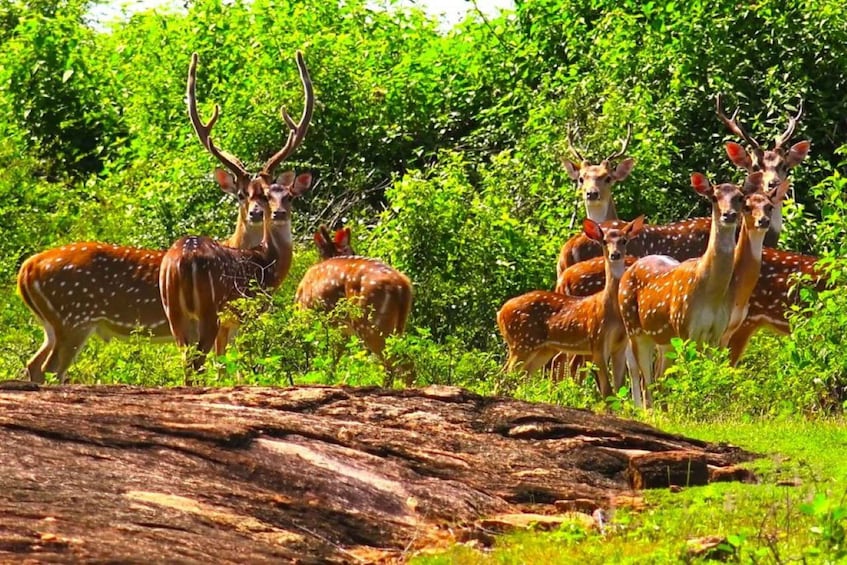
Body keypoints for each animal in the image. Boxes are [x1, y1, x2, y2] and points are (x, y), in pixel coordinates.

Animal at [16, 51, 279, 384]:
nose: (257, 213)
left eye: (266, 194)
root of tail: (25, 270)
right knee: (51, 368)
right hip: (75, 317)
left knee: (34, 364)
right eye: (241, 194)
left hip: (53, 325)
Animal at [159, 50, 314, 380]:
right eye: (244, 195)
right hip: (210, 310)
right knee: (197, 362)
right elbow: (239, 364)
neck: (266, 262)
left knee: (186, 362)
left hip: (174, 312)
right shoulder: (246, 314)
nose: (266, 213)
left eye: (270, 194)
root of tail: (182, 262)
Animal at [295, 226, 414, 387]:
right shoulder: (342, 331)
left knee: (399, 363)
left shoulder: (307, 318)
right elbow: (335, 356)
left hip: (370, 322)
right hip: (397, 326)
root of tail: (403, 285)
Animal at [497, 216, 645, 398]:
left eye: (624, 240)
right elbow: (607, 390)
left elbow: (619, 388)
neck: (611, 311)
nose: (614, 254)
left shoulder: (619, 345)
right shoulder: (597, 341)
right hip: (522, 342)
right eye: (604, 241)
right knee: (503, 376)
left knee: (520, 376)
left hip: (541, 349)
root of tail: (500, 313)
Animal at [618, 172, 764, 408]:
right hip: (634, 326)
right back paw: (647, 410)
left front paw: (707, 404)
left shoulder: (717, 332)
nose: (729, 215)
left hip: (664, 338)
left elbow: (709, 373)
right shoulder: (686, 327)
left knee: (657, 375)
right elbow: (687, 374)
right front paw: (687, 405)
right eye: (713, 197)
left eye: (740, 197)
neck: (711, 293)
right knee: (645, 377)